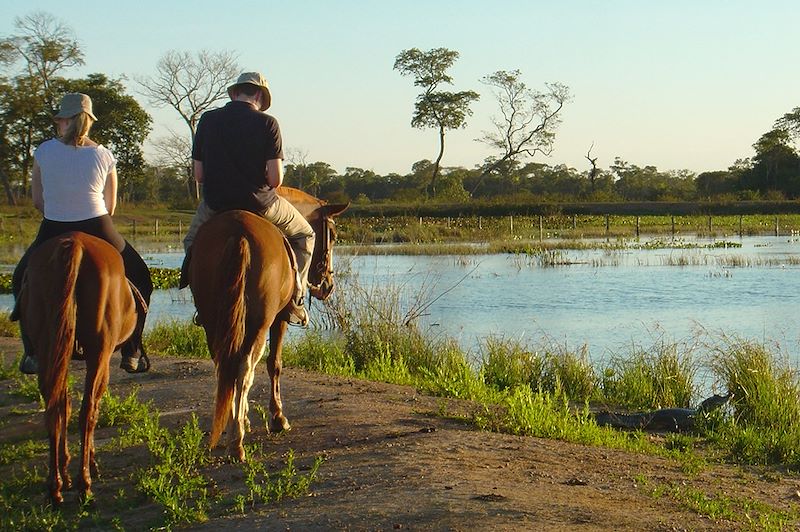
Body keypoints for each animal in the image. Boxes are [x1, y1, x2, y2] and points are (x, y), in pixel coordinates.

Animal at [17, 233, 144, 502]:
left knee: (54, 407)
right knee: (88, 410)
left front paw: (65, 469)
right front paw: (90, 465)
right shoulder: (101, 358)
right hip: (98, 352)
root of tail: (75, 244)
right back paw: (84, 483)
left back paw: (56, 485)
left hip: (48, 346)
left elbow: (64, 404)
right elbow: (90, 404)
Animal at [190, 189, 346, 460]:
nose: (327, 285)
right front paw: (277, 418)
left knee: (226, 366)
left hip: (213, 320)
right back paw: (237, 441)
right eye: (334, 236)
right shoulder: (280, 318)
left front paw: (243, 417)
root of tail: (238, 230)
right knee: (244, 367)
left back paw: (232, 427)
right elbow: (274, 364)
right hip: (259, 323)